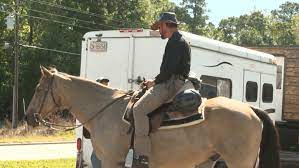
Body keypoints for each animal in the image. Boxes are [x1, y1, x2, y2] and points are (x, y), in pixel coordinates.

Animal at [26, 66, 282, 168]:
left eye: (38, 89)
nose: (28, 117)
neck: (104, 109)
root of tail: (251, 110)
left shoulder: (111, 159)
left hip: (239, 161)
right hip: (208, 160)